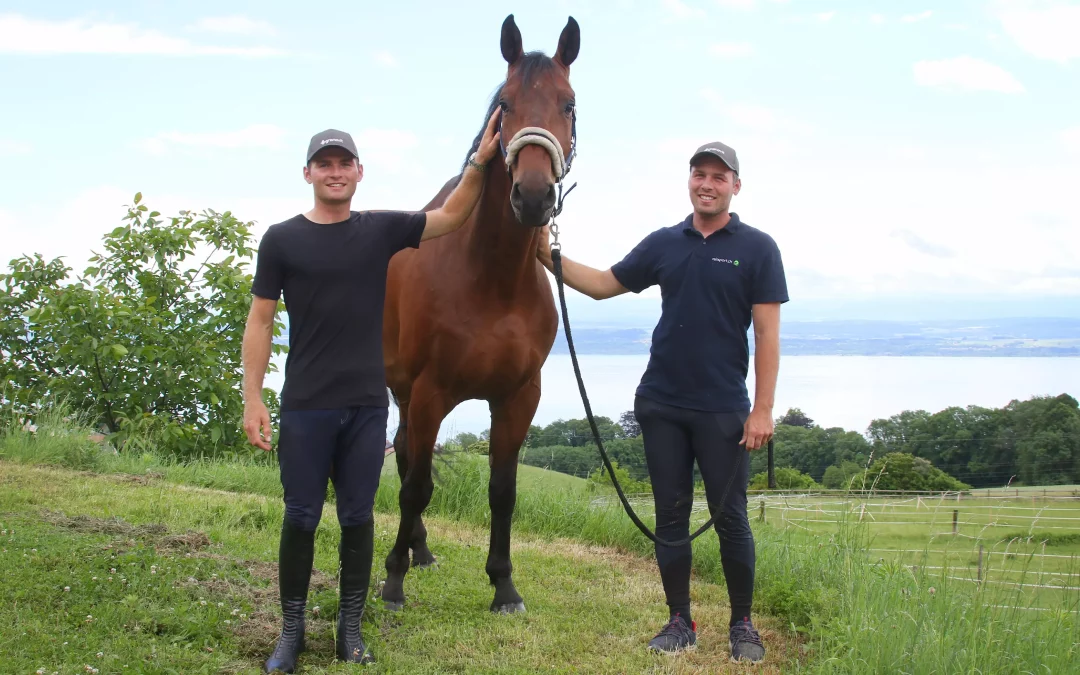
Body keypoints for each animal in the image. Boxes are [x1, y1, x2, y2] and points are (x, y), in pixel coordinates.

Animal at [382, 13, 583, 613]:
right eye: (506, 105)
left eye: (568, 104)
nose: (534, 196)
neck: (491, 281)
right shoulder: (431, 391)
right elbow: (417, 485)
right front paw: (392, 581)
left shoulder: (518, 397)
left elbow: (503, 491)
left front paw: (504, 585)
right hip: (400, 390)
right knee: (407, 462)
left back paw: (422, 551)